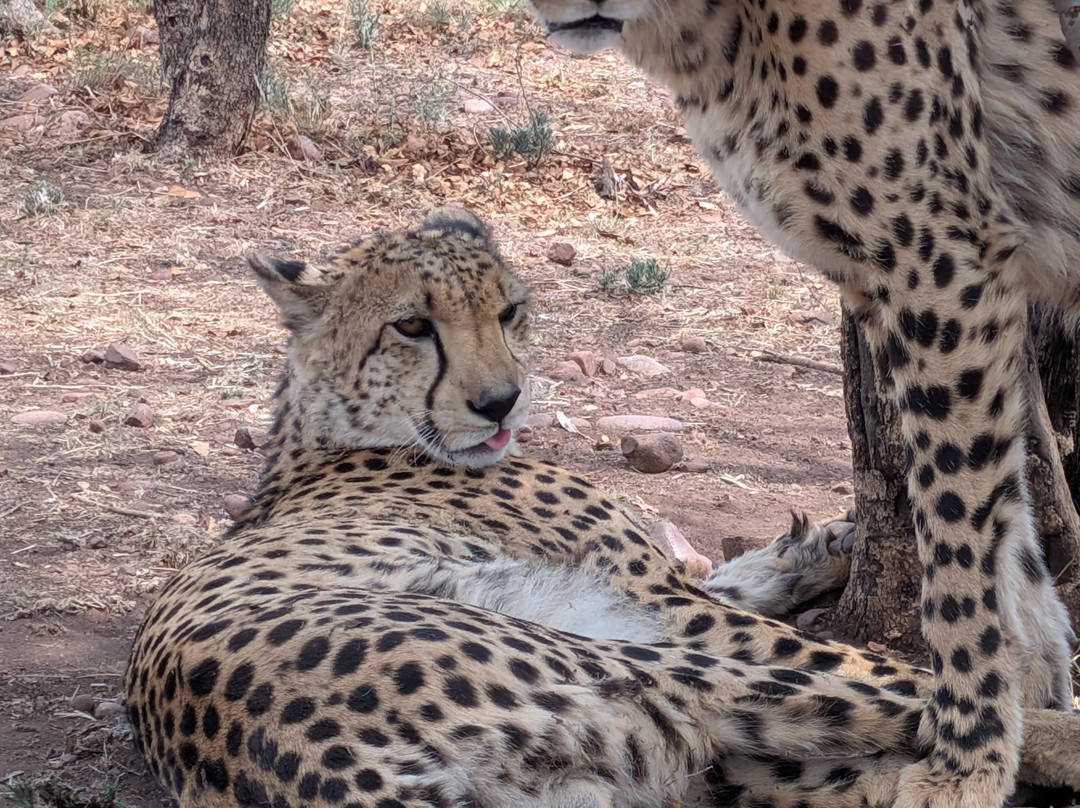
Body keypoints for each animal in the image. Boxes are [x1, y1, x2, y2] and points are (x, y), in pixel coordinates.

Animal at [124, 209, 1080, 808]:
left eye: (510, 311)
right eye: (411, 327)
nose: (501, 403)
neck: (337, 429)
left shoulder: (655, 586)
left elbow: (727, 574)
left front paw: (816, 549)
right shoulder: (665, 604)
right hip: (642, 669)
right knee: (924, 704)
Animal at [520, 0, 1080, 805]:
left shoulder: (941, 264)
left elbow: (955, 539)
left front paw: (965, 764)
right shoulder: (897, 278)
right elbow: (1007, 528)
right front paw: (1033, 699)